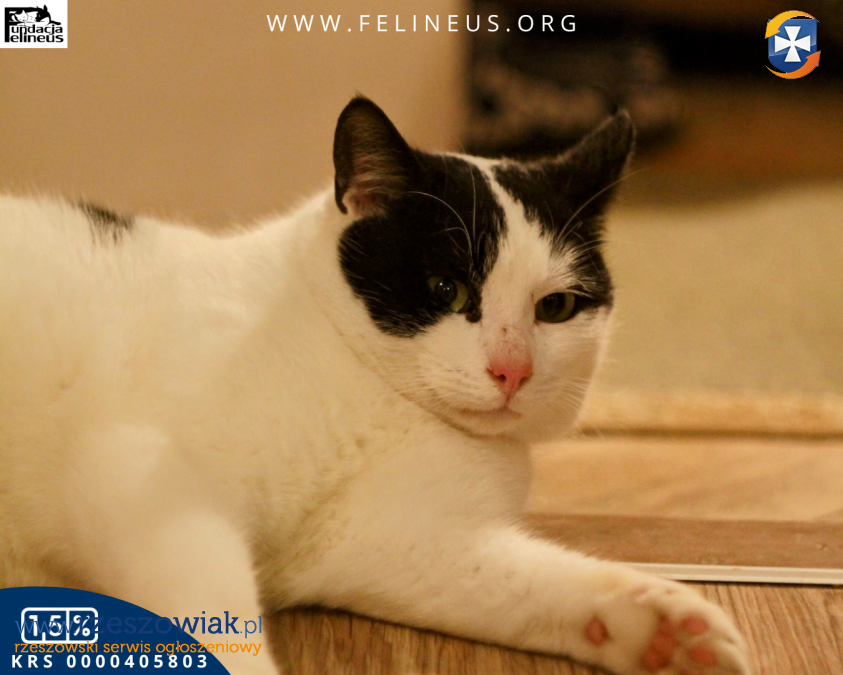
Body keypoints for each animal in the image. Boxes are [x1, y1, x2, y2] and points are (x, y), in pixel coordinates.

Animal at [0, 97, 752, 675]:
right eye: (446, 290)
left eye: (557, 307)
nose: (513, 369)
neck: (377, 398)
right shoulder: (135, 477)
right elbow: (209, 607)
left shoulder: (392, 541)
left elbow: (533, 583)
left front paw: (656, 628)